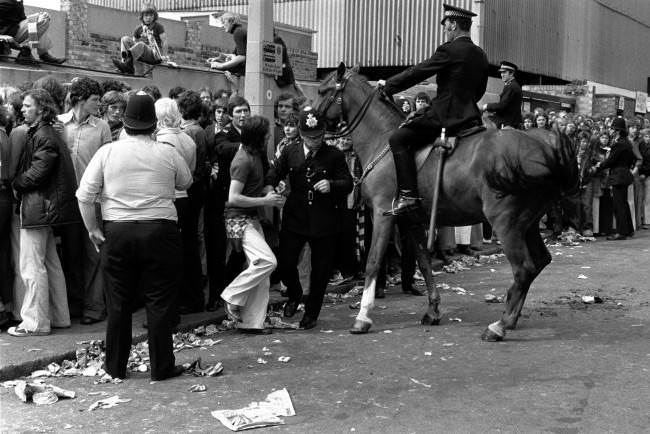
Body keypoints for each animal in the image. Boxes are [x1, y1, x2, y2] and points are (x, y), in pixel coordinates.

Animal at [314, 63, 576, 342]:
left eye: (322, 91)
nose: (307, 121)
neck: (382, 140)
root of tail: (544, 149)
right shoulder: (413, 220)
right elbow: (423, 262)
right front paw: (433, 310)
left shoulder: (384, 214)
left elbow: (373, 262)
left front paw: (363, 317)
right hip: (528, 223)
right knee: (540, 261)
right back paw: (512, 317)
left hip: (506, 223)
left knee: (524, 268)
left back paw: (499, 325)